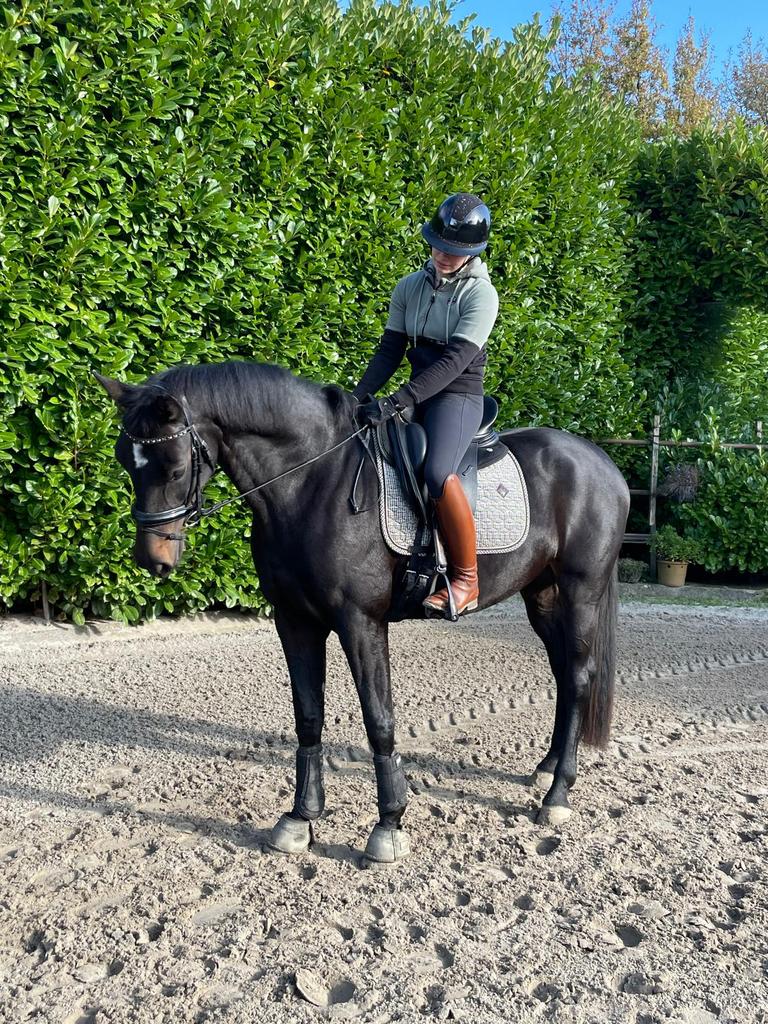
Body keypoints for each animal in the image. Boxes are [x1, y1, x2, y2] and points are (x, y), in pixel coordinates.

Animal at [95, 360, 630, 863]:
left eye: (173, 468)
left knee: (578, 675)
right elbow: (308, 715)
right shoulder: (295, 621)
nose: (153, 558)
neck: (312, 482)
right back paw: (546, 769)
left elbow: (379, 719)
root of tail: (601, 460)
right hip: (542, 595)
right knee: (564, 675)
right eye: (125, 460)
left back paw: (557, 795)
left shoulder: (360, 622)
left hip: (580, 592)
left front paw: (389, 825)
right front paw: (300, 818)